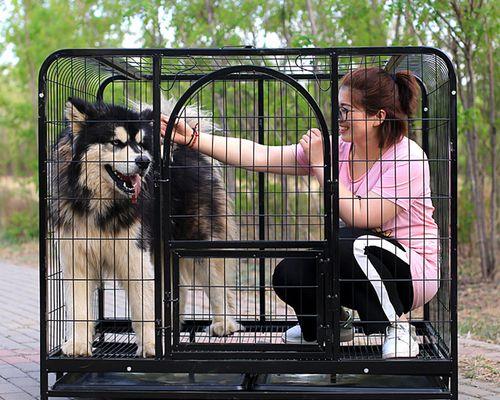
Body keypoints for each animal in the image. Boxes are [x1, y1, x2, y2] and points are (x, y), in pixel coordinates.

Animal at [49, 96, 241, 356]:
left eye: (141, 144)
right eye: (116, 142)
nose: (144, 162)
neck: (100, 205)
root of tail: (185, 150)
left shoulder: (134, 255)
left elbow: (144, 307)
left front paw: (151, 345)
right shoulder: (76, 258)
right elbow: (79, 308)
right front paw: (78, 344)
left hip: (197, 241)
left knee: (219, 286)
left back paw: (224, 324)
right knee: (180, 289)